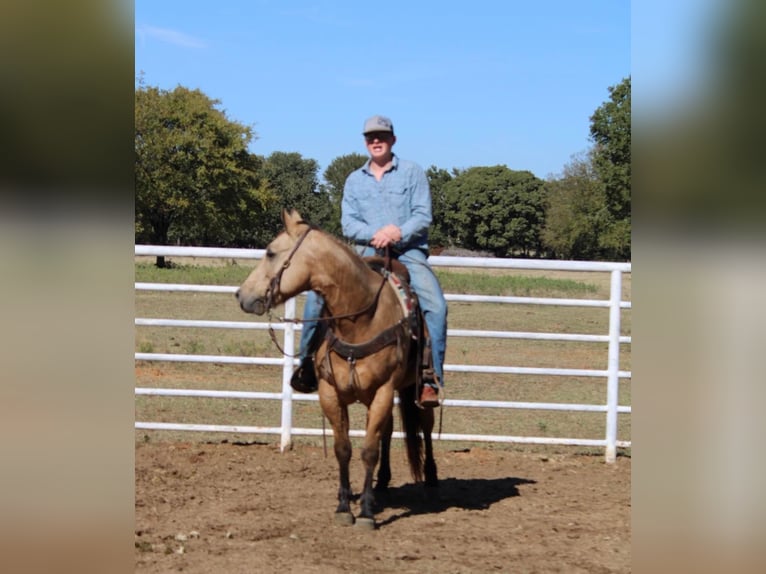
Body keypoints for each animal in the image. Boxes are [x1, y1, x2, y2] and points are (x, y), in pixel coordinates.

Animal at [236, 209, 438, 528]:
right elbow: (344, 449)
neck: (359, 321)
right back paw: (382, 482)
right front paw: (345, 507)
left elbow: (368, 451)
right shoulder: (330, 393)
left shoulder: (382, 391)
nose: (241, 295)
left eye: (270, 252)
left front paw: (366, 512)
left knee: (425, 426)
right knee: (388, 432)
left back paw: (430, 479)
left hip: (413, 388)